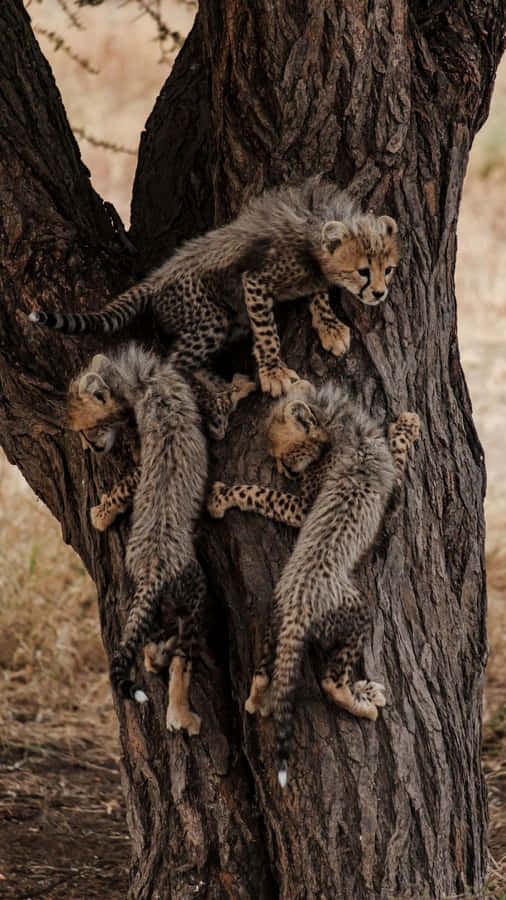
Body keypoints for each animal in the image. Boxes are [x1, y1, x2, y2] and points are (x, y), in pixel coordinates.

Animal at [29, 175, 400, 397]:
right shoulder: (255, 279)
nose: (379, 293)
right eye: (363, 271)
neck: (314, 230)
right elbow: (267, 333)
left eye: (389, 270)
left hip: (231, 318)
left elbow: (318, 292)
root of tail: (157, 275)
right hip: (209, 316)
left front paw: (330, 327)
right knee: (170, 365)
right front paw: (274, 373)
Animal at [69, 344, 253, 735]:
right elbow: (221, 406)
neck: (135, 378)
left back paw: (155, 662)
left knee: (150, 644)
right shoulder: (206, 419)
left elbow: (131, 478)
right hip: (194, 591)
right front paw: (243, 384)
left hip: (148, 601)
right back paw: (181, 713)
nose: (90, 448)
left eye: (87, 429)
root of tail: (152, 569)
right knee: (184, 655)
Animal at [208, 381, 420, 785]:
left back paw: (259, 699)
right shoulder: (329, 499)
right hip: (355, 613)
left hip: (273, 622)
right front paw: (407, 426)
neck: (342, 427)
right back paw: (363, 698)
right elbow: (263, 493)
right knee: (332, 682)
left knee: (263, 674)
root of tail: (295, 607)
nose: (283, 469)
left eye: (285, 455)